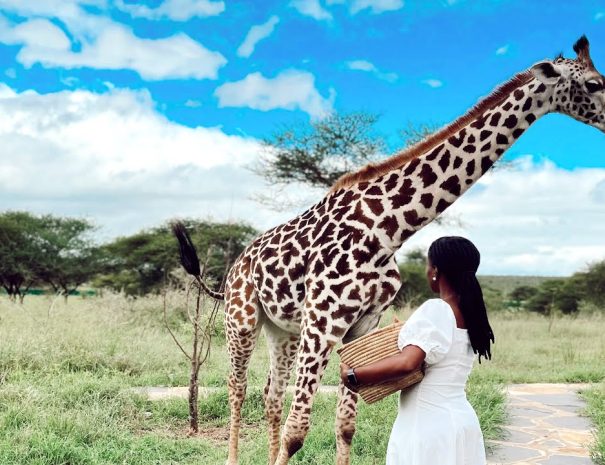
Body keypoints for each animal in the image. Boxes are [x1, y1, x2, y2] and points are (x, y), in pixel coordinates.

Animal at [203, 37, 604, 464]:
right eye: (595, 84)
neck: (388, 229)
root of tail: (238, 263)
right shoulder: (323, 321)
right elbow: (298, 431)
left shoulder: (361, 324)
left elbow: (345, 425)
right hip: (242, 320)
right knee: (238, 388)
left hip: (283, 330)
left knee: (271, 395)